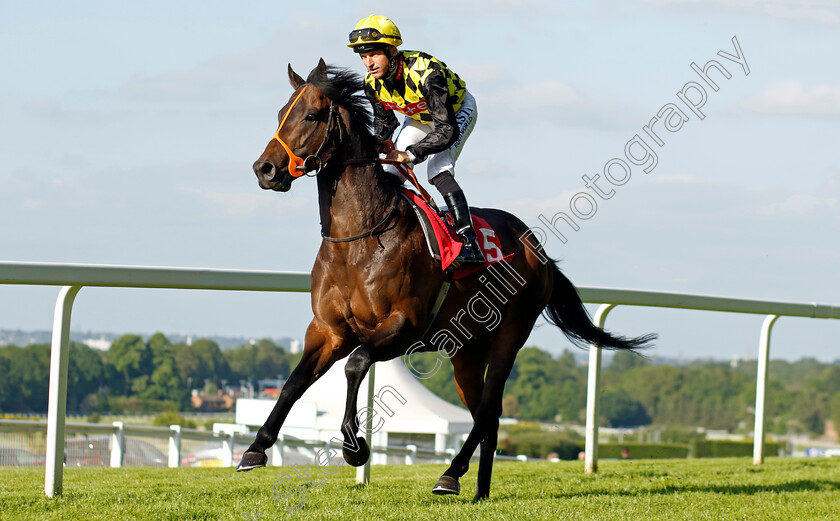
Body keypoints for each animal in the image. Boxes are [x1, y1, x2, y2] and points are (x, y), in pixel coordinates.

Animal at [238, 60, 656, 500]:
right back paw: (479, 490)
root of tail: (537, 251)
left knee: (488, 410)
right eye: (280, 114)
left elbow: (355, 365)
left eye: (312, 116)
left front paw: (355, 447)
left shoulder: (403, 326)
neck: (359, 240)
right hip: (466, 351)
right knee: (487, 417)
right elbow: (294, 382)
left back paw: (451, 474)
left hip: (509, 336)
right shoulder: (327, 331)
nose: (265, 169)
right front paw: (255, 448)